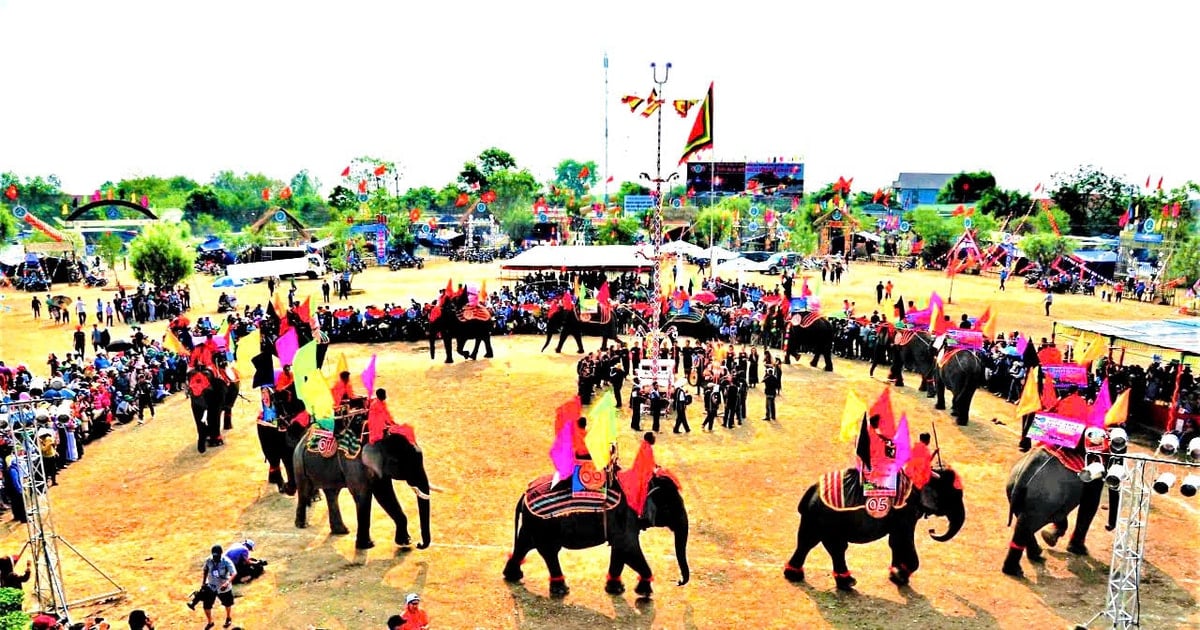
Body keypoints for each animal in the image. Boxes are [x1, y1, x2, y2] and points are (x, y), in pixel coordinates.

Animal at [294, 429, 434, 547]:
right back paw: (302, 525)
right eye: (396, 462)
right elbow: (365, 495)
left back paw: (342, 531)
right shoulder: (354, 464)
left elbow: (385, 493)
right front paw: (367, 545)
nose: (419, 544)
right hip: (299, 465)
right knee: (305, 491)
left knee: (332, 494)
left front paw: (405, 542)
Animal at [504, 470, 691, 595]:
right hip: (544, 525)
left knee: (524, 545)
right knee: (549, 551)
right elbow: (628, 549)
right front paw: (644, 593)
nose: (678, 582)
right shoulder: (625, 517)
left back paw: (513, 576)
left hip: (533, 524)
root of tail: (524, 494)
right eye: (669, 508)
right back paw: (561, 591)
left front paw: (617, 590)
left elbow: (619, 550)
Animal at [782, 460, 969, 590]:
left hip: (817, 519)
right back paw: (847, 582)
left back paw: (796, 576)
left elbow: (895, 541)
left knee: (809, 542)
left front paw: (895, 574)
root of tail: (811, 491)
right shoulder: (906, 510)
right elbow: (904, 538)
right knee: (832, 546)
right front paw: (900, 575)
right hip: (828, 518)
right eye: (955, 496)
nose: (932, 530)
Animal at [993, 441, 1113, 573]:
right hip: (1043, 497)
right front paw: (1079, 550)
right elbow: (1090, 502)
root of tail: (1024, 473)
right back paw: (1016, 570)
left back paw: (1036, 554)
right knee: (1028, 525)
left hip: (1015, 490)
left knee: (1023, 523)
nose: (1108, 527)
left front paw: (1049, 536)